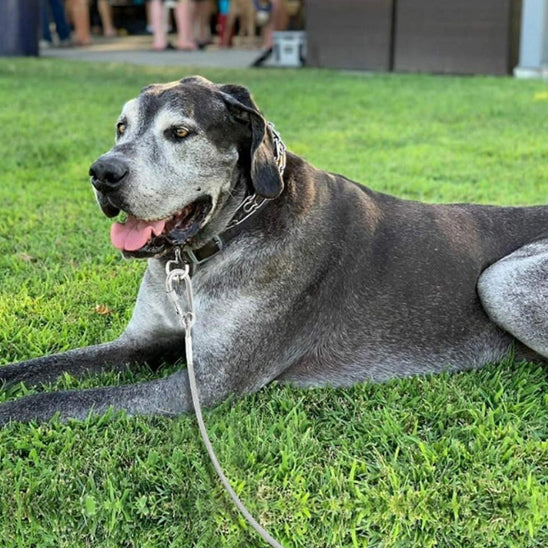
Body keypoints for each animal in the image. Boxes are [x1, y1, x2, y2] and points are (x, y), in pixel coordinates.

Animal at [1, 75, 548, 424]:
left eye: (180, 132)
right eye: (121, 127)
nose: (102, 173)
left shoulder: (202, 385)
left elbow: (54, 401)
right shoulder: (138, 344)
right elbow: (35, 372)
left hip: (499, 280)